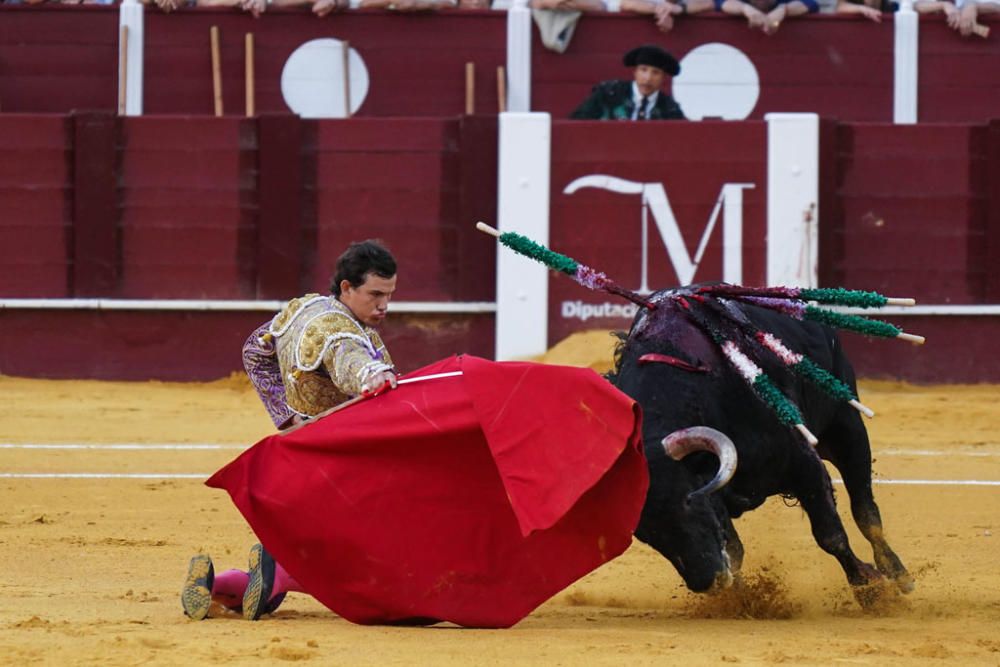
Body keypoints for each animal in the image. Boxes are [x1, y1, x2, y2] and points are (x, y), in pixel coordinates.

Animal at [608, 290, 916, 604]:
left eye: (687, 501)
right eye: (644, 533)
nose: (707, 582)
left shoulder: (804, 465)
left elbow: (830, 535)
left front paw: (868, 588)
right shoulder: (718, 494)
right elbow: (734, 550)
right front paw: (739, 599)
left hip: (847, 427)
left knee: (865, 510)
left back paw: (898, 574)